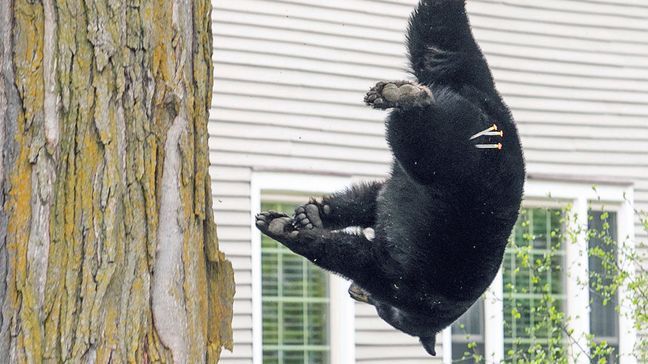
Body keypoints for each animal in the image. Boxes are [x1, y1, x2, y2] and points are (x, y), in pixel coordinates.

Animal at [256, 0, 524, 356]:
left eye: (380, 310)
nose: (354, 292)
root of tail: (491, 110)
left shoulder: (410, 287)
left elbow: (367, 242)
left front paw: (305, 219)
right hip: (464, 144)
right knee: (434, 39)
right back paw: (410, 95)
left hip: (452, 138)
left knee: (430, 39)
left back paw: (399, 93)